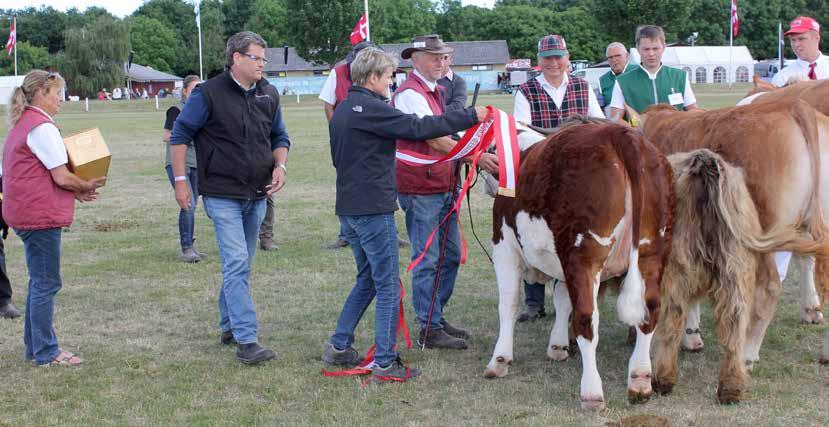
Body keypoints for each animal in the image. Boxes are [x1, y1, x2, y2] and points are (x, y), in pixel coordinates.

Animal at [483, 118, 676, 411]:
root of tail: (620, 133)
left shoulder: (504, 247)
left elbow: (509, 304)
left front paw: (500, 359)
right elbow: (562, 299)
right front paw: (558, 346)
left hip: (584, 255)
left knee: (587, 319)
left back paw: (592, 392)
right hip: (652, 252)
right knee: (650, 310)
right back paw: (640, 379)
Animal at [654, 149, 825, 404]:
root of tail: (704, 161)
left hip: (677, 266)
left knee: (672, 320)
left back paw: (663, 380)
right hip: (735, 265)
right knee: (736, 322)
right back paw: (731, 387)